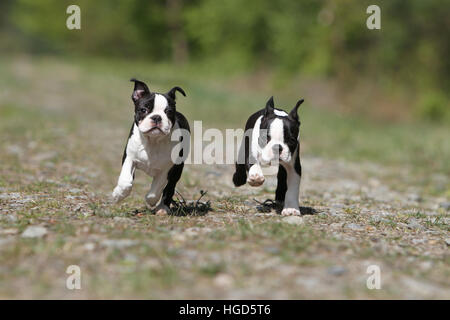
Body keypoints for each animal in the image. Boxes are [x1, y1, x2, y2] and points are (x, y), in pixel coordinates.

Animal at [113, 79, 191, 215]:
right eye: (144, 109)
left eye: (169, 112)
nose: (157, 117)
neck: (153, 141)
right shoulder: (129, 158)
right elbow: (125, 181)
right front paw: (118, 195)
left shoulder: (167, 169)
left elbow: (156, 191)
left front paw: (151, 201)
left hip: (178, 170)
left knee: (169, 188)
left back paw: (162, 208)